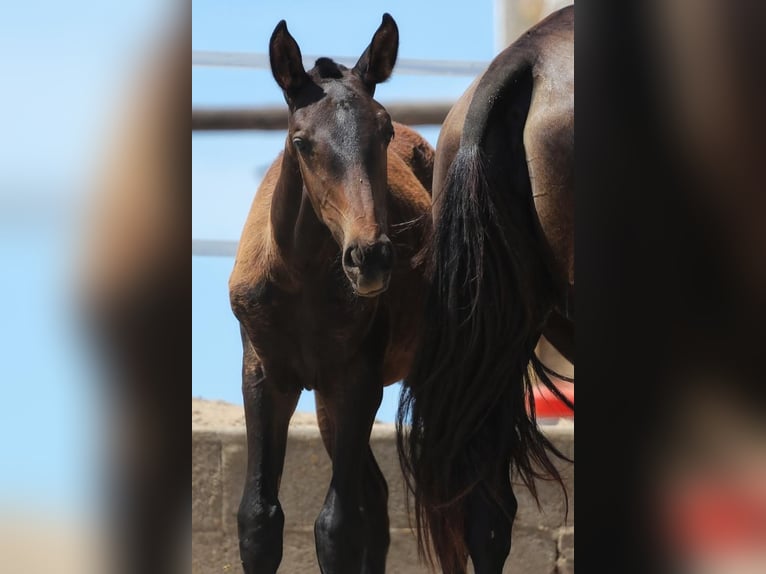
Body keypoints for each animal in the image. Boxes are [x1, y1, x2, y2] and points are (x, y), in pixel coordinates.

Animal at [228, 13, 436, 574]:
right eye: (301, 141)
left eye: (384, 131)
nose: (371, 258)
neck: (301, 282)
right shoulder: (265, 375)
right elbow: (259, 518)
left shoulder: (356, 379)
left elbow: (338, 525)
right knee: (379, 498)